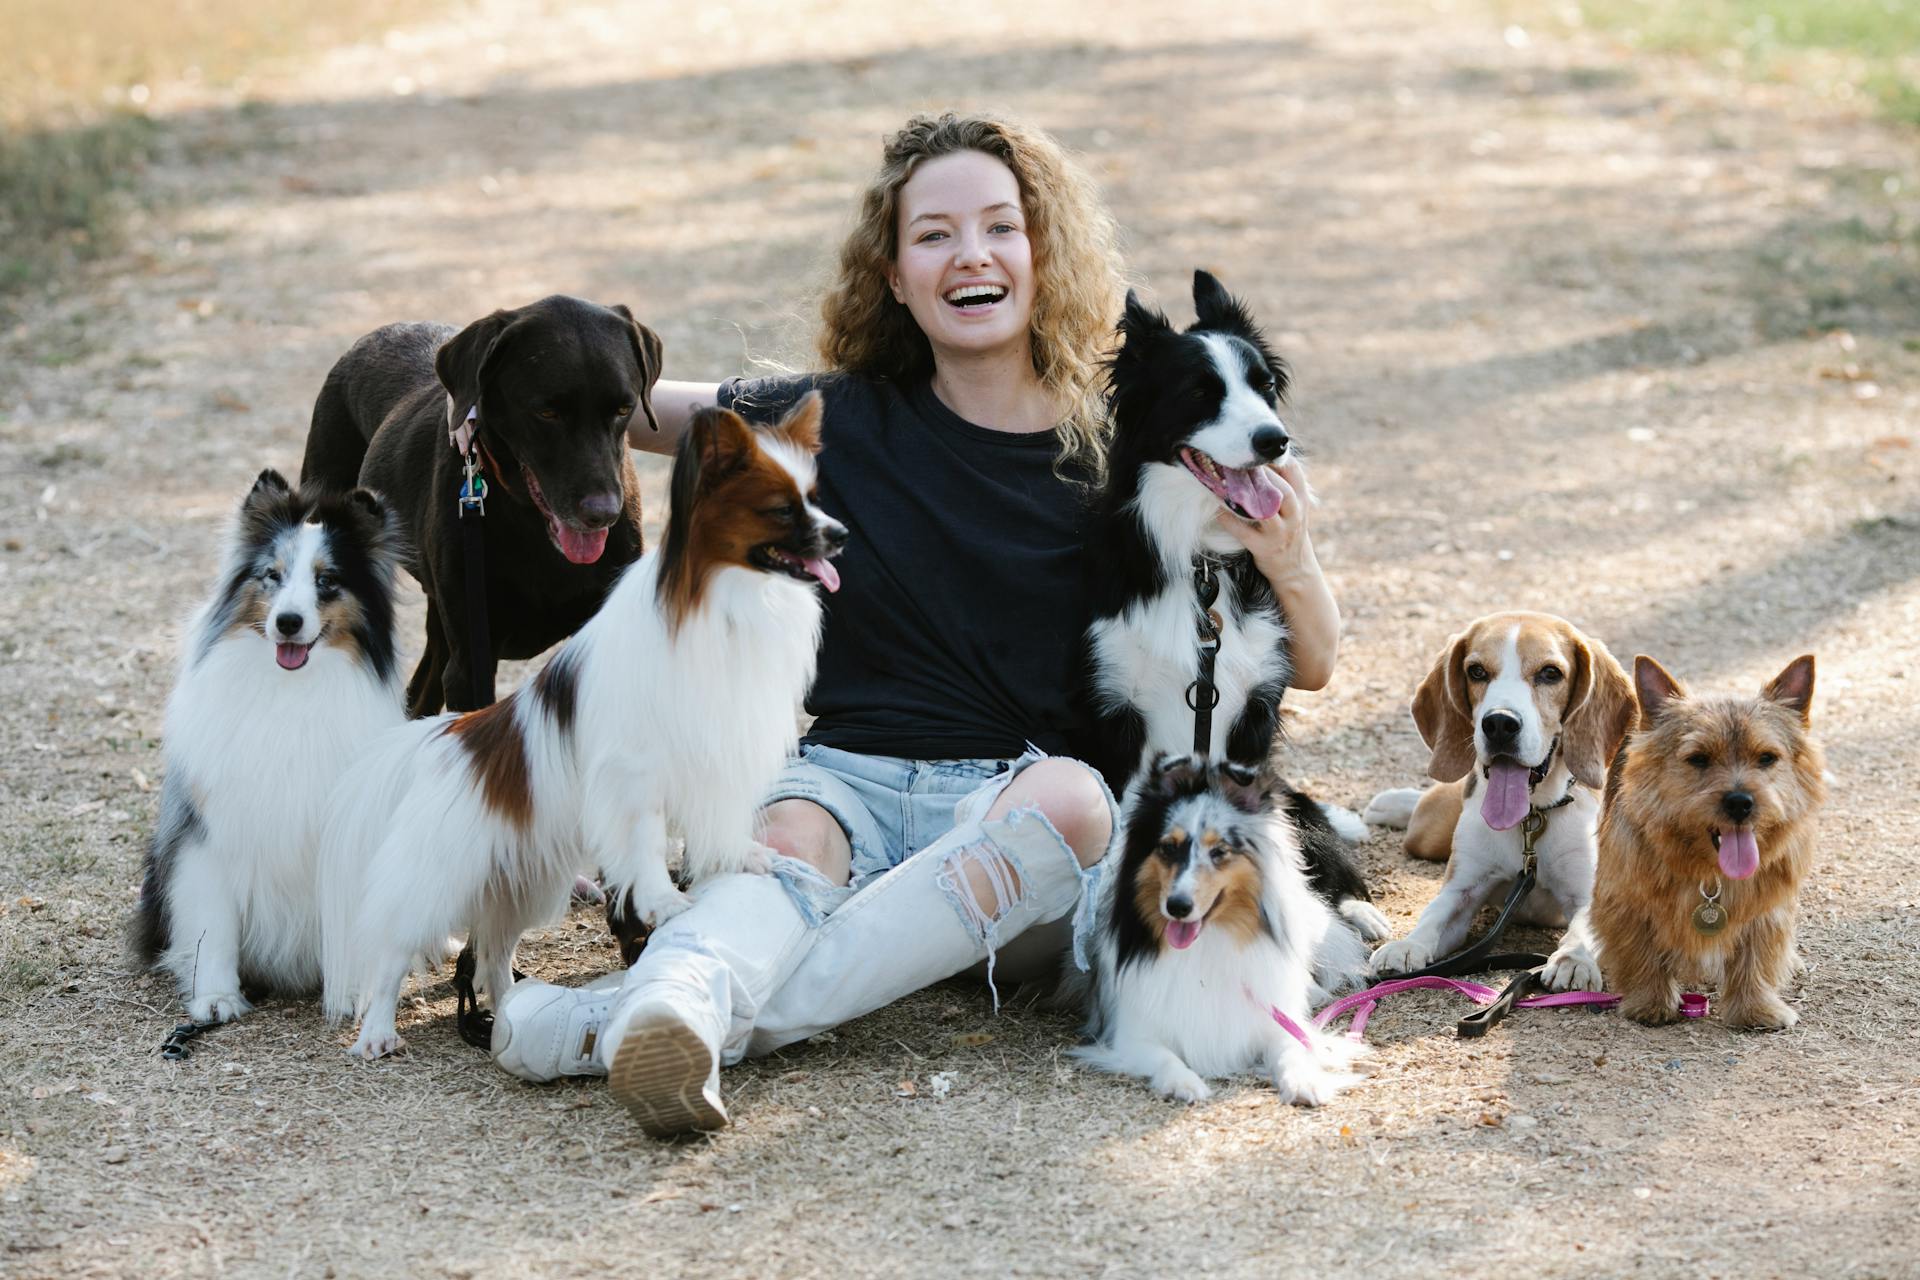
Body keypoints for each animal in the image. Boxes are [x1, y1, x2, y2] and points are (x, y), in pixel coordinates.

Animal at [131, 470, 405, 1020]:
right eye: (272, 576)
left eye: (327, 581)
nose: (288, 623)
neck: (290, 692)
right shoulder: (209, 836)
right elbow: (213, 926)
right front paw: (216, 997)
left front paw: (351, 995)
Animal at [318, 397, 844, 1059]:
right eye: (781, 510)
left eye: (815, 498)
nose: (841, 535)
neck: (725, 595)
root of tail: (450, 738)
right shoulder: (635, 775)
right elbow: (646, 845)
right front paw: (666, 902)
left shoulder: (715, 747)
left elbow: (715, 822)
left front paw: (740, 857)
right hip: (440, 879)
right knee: (395, 951)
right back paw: (378, 1033)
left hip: (518, 883)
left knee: (494, 954)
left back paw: (509, 1009)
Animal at [1082, 756, 1367, 1105]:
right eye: (1168, 848)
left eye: (1219, 851)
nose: (1177, 906)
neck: (1207, 943)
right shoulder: (1133, 1033)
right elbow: (1165, 1057)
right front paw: (1185, 1082)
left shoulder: (1272, 1022)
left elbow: (1292, 1049)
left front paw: (1304, 1081)